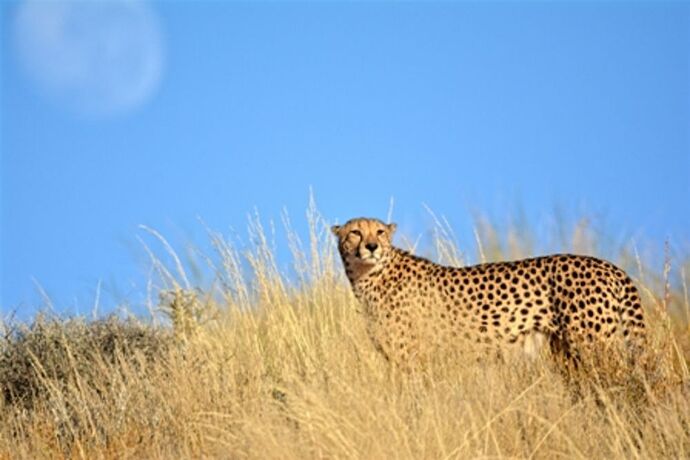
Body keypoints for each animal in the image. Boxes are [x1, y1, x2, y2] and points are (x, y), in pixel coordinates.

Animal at [334, 217, 644, 370]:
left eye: (380, 232)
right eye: (355, 233)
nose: (372, 246)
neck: (369, 275)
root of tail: (608, 265)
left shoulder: (410, 358)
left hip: (594, 346)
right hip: (566, 351)